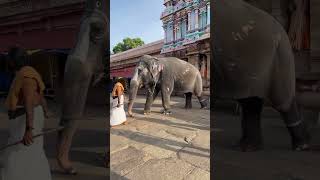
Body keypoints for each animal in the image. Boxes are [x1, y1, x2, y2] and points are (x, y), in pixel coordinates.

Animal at [212, 0, 310, 151]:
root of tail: (282, 31)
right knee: (251, 101)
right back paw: (247, 146)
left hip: (267, 59)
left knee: (281, 101)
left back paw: (301, 146)